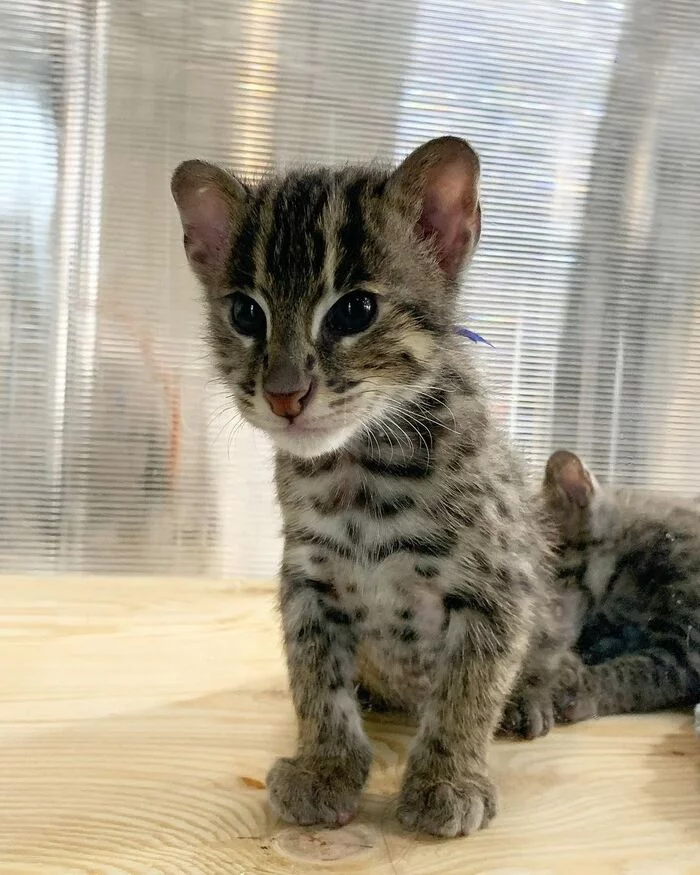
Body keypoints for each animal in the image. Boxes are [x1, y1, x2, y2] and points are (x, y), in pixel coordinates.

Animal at [172, 139, 556, 840]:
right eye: (245, 313)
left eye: (355, 311)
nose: (284, 394)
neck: (359, 470)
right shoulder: (308, 582)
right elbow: (316, 685)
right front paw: (325, 766)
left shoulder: (498, 587)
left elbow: (466, 692)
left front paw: (446, 779)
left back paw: (537, 693)